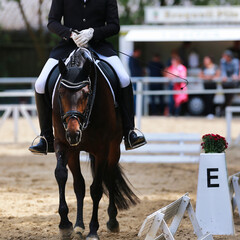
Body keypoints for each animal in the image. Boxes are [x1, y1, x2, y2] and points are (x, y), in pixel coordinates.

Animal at [51, 47, 140, 240]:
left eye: (86, 93)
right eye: (60, 92)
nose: (73, 133)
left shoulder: (102, 150)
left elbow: (97, 189)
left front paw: (93, 230)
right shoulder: (63, 145)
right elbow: (62, 176)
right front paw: (65, 224)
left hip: (113, 149)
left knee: (110, 176)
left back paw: (112, 221)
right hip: (75, 151)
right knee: (79, 185)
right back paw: (78, 225)